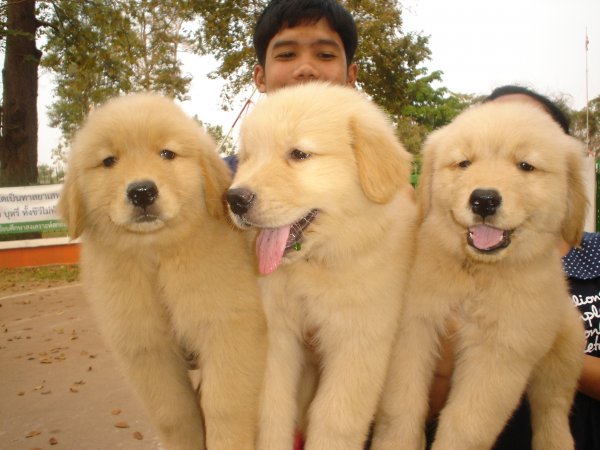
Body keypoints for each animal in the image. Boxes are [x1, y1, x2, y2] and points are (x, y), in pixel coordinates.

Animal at [58, 93, 267, 450]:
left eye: (167, 154)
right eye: (109, 161)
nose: (142, 191)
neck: (156, 258)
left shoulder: (229, 330)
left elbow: (223, 408)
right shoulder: (145, 348)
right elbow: (174, 414)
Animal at [225, 82, 417, 450]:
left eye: (299, 154)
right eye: (249, 158)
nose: (235, 199)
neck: (315, 265)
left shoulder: (359, 342)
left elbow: (335, 421)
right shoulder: (276, 334)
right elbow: (272, 408)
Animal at [372, 101, 588, 450]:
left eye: (526, 166)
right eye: (464, 163)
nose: (484, 199)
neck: (476, 276)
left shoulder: (502, 350)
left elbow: (467, 425)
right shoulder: (413, 327)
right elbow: (399, 407)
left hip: (565, 344)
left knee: (552, 406)